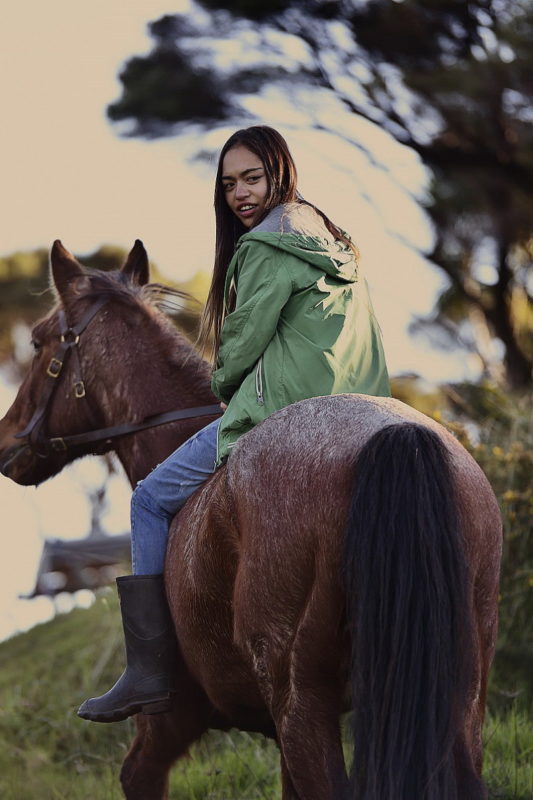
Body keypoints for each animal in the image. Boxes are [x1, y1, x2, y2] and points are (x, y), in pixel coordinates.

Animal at [0, 241, 500, 796]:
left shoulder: (172, 721)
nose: (7, 440)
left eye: (38, 342)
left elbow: (137, 775)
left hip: (300, 703)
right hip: (458, 701)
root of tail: (397, 439)